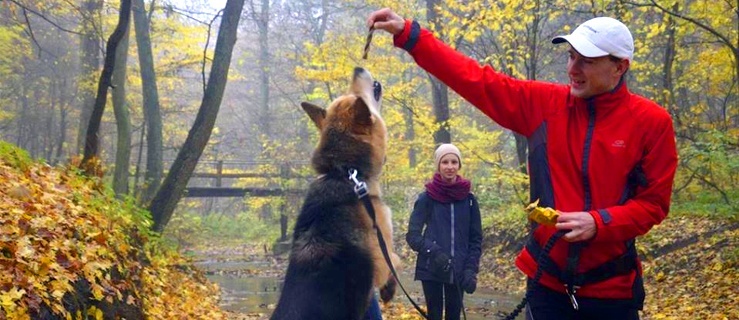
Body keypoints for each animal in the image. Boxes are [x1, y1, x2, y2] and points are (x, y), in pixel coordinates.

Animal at [270, 67, 398, 320]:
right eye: (354, 95)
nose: (358, 68)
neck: (344, 173)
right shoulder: (381, 251)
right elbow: (395, 261)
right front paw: (390, 287)